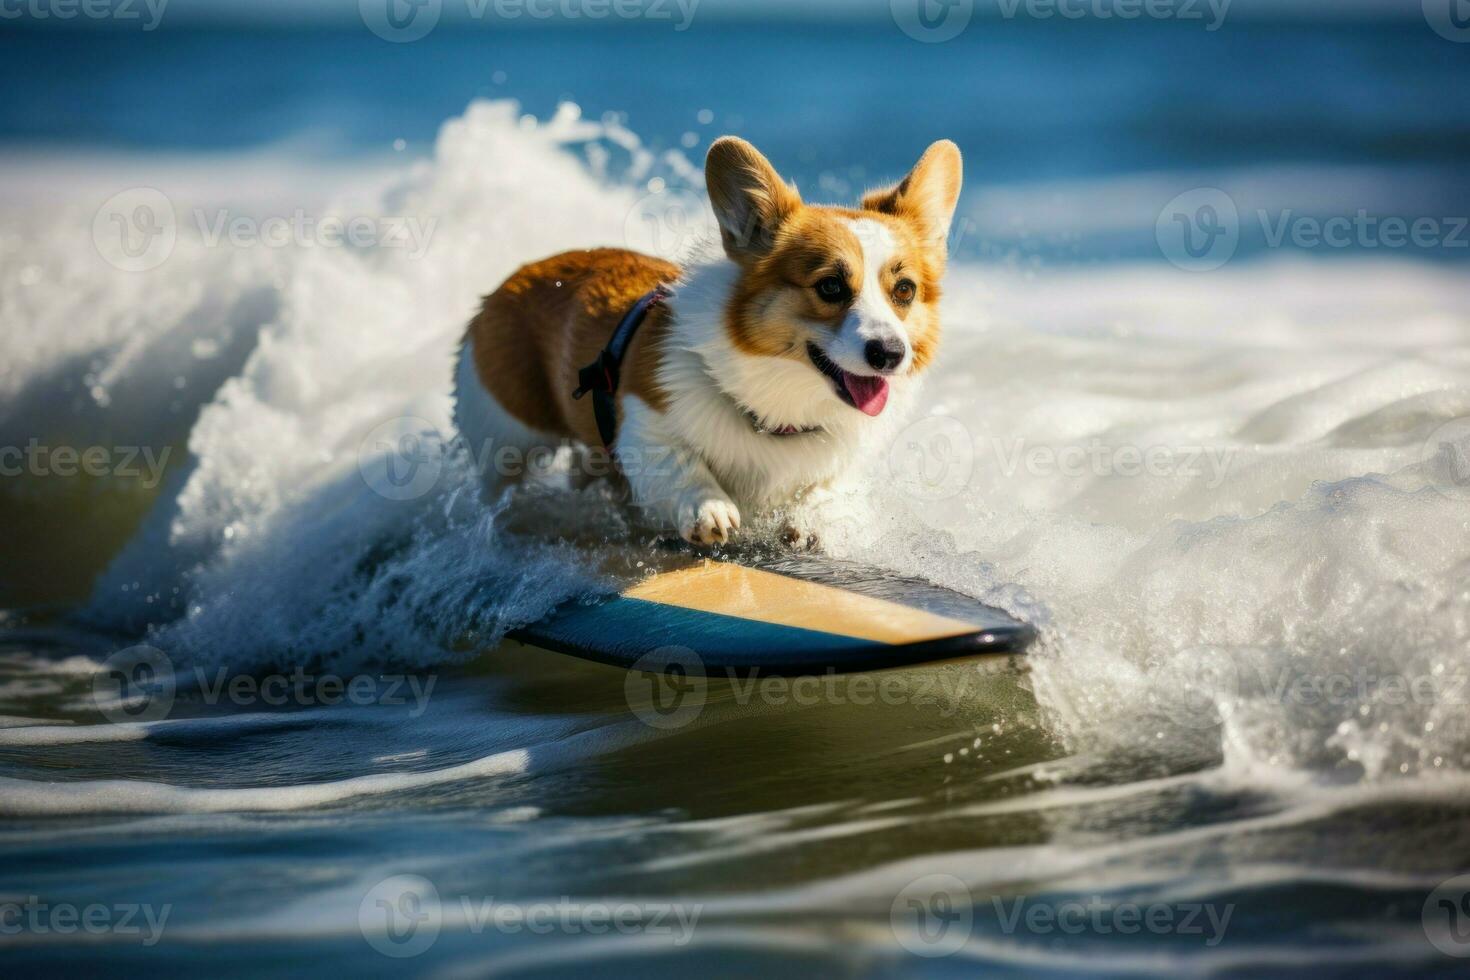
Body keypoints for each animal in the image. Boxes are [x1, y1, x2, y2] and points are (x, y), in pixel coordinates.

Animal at [458, 137, 964, 549]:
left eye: (905, 291)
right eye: (830, 287)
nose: (890, 355)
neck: (780, 411)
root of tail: (516, 277)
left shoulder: (843, 467)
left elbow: (827, 492)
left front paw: (810, 520)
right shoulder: (645, 423)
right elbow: (681, 465)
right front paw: (709, 508)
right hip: (502, 431)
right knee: (494, 481)